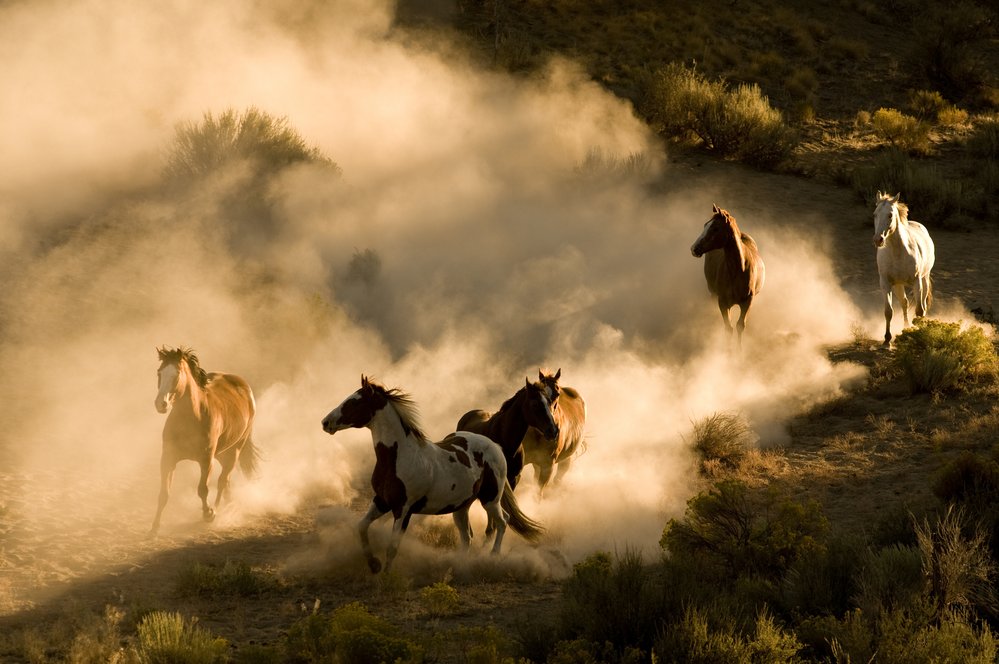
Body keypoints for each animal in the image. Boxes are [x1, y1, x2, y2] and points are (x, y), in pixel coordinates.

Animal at [150, 348, 258, 536]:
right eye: (159, 372)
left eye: (177, 374)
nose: (160, 404)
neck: (192, 418)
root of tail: (244, 386)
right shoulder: (168, 459)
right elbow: (164, 493)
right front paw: (154, 528)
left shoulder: (206, 460)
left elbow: (202, 489)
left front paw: (209, 514)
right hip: (222, 454)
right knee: (226, 482)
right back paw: (228, 506)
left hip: (235, 450)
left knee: (223, 481)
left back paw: (218, 510)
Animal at [322, 376, 548, 572]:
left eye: (354, 402)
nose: (325, 422)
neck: (399, 456)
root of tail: (495, 447)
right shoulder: (381, 502)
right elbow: (361, 527)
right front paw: (374, 565)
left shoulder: (403, 509)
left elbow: (392, 547)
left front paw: (384, 576)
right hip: (461, 507)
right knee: (467, 537)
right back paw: (459, 566)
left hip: (490, 499)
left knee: (502, 522)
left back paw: (492, 557)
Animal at [692, 202, 768, 348]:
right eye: (705, 225)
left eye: (715, 228)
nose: (694, 248)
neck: (738, 270)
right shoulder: (722, 302)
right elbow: (728, 328)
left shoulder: (747, 302)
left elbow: (740, 325)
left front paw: (738, 350)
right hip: (712, 293)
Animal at [872, 191, 932, 348]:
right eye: (875, 214)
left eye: (890, 215)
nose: (878, 239)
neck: (898, 252)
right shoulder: (885, 283)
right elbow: (889, 311)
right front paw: (887, 340)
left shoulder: (917, 282)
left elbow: (919, 310)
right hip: (898, 285)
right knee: (904, 303)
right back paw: (905, 327)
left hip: (924, 279)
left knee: (923, 305)